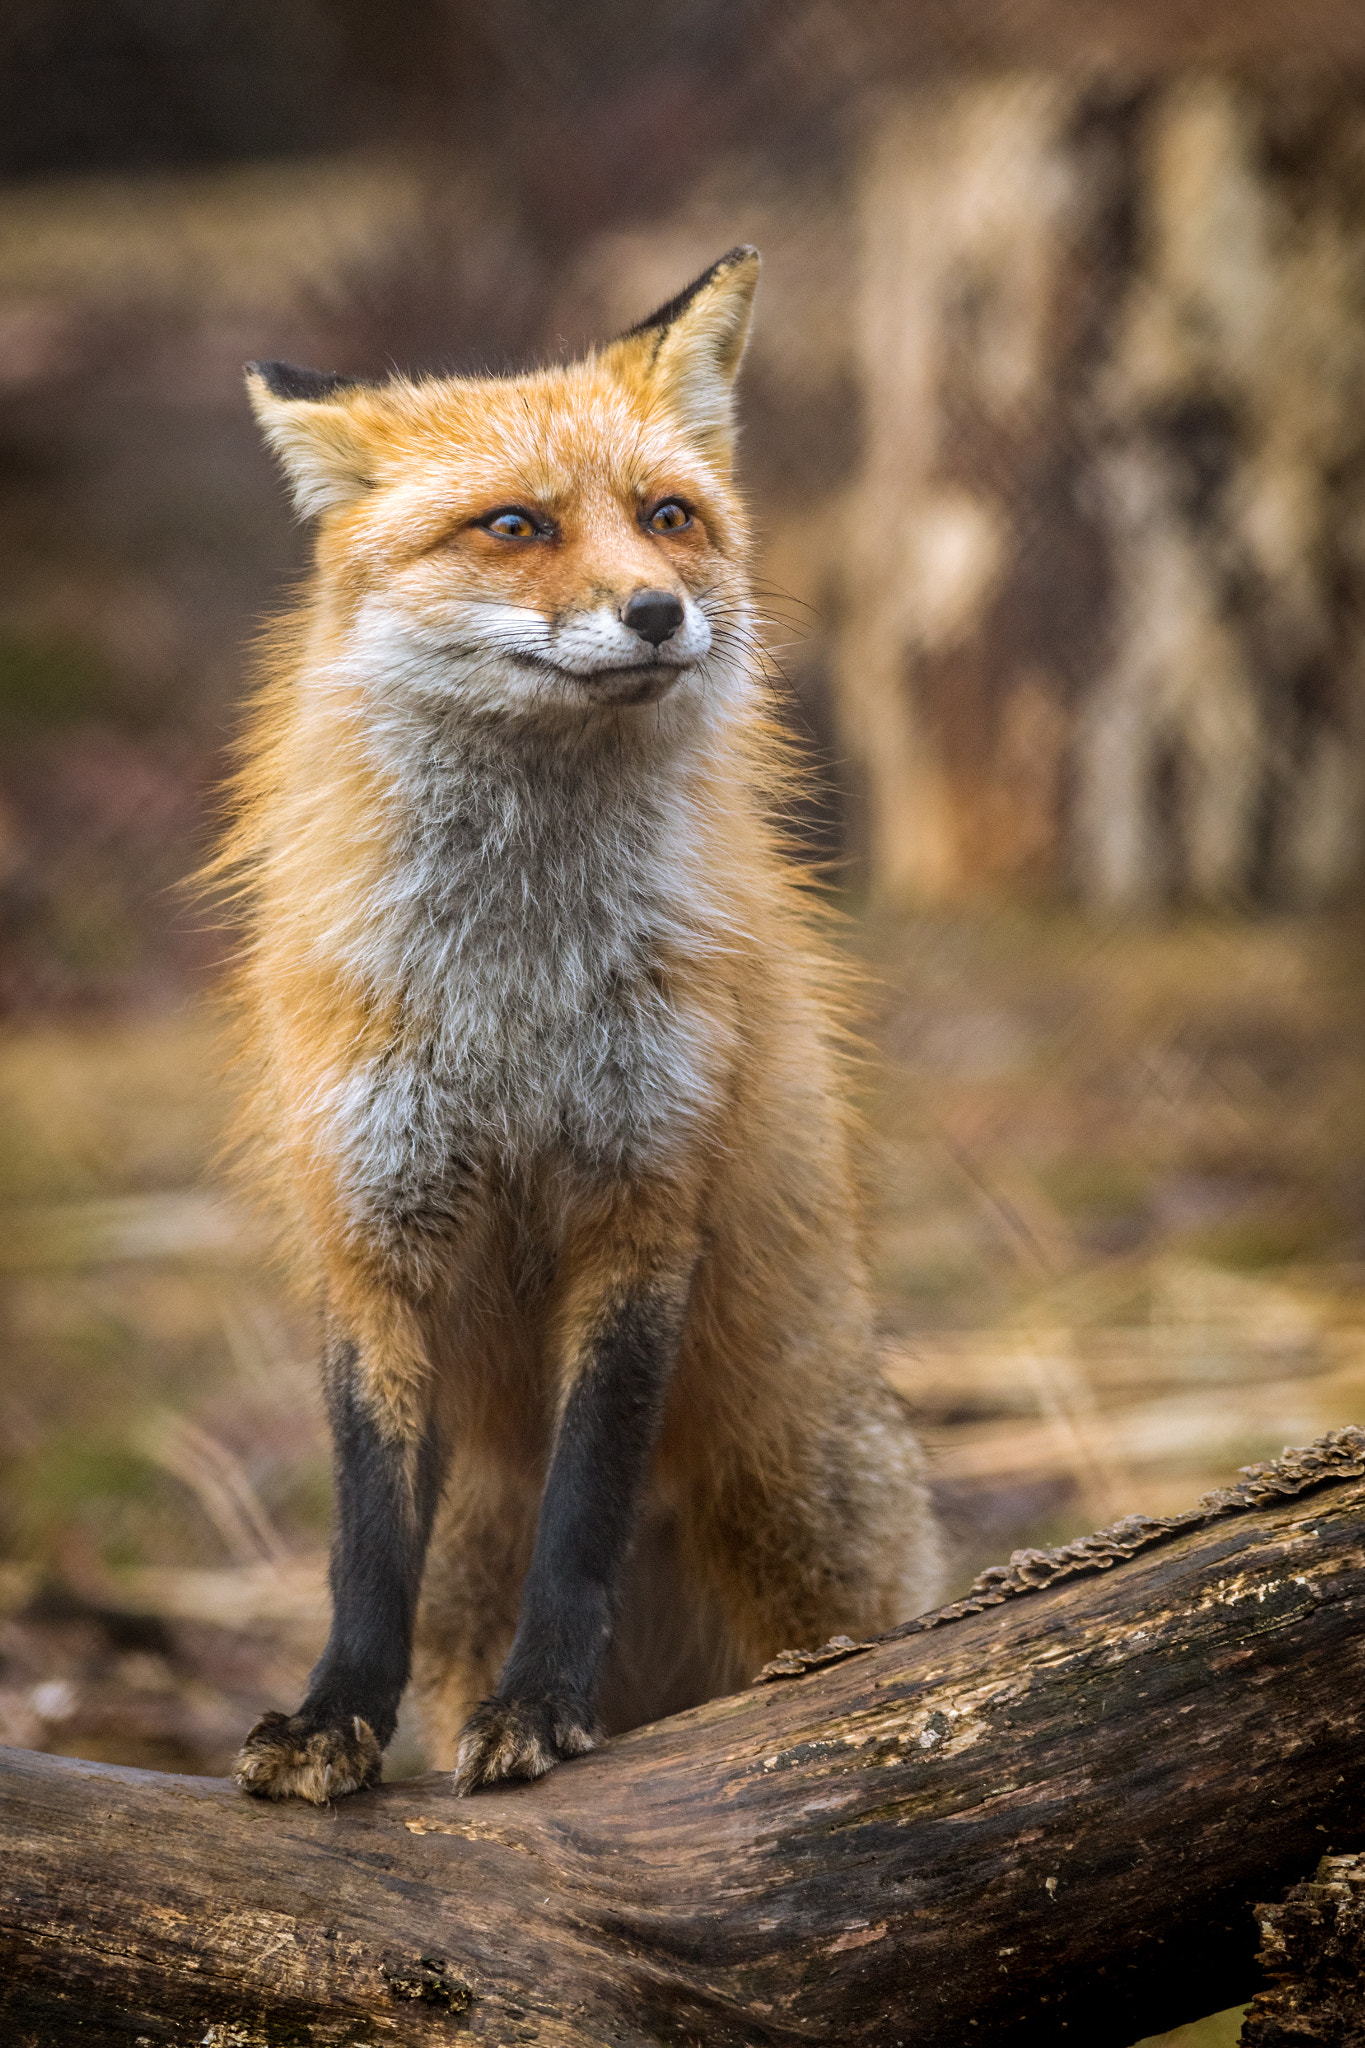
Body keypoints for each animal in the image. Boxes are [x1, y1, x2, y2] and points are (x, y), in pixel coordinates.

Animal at [222, 247, 941, 1802]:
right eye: (516, 526)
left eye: (669, 517)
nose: (660, 612)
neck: (516, 991)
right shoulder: (376, 1226)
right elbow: (364, 1538)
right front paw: (329, 1714)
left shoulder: (640, 1199)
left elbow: (586, 1511)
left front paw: (546, 1703)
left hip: (790, 1512)